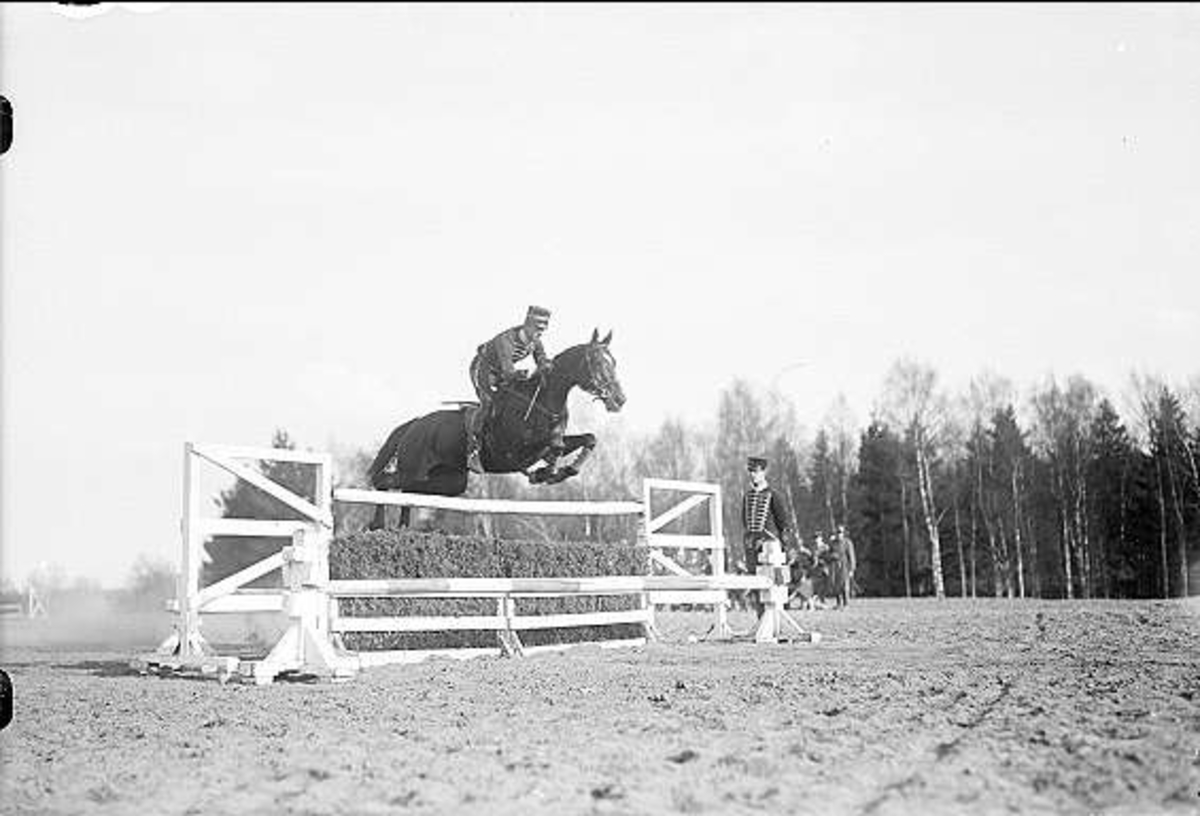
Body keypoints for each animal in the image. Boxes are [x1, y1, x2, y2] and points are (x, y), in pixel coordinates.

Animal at [364, 328, 628, 528]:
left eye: (614, 362)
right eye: (597, 362)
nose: (619, 399)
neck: (543, 400)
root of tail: (414, 424)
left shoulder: (546, 445)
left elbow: (587, 439)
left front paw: (563, 471)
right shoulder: (518, 450)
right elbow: (555, 446)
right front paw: (547, 473)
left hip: (450, 481)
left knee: (410, 493)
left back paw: (402, 525)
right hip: (414, 467)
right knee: (385, 482)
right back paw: (378, 524)